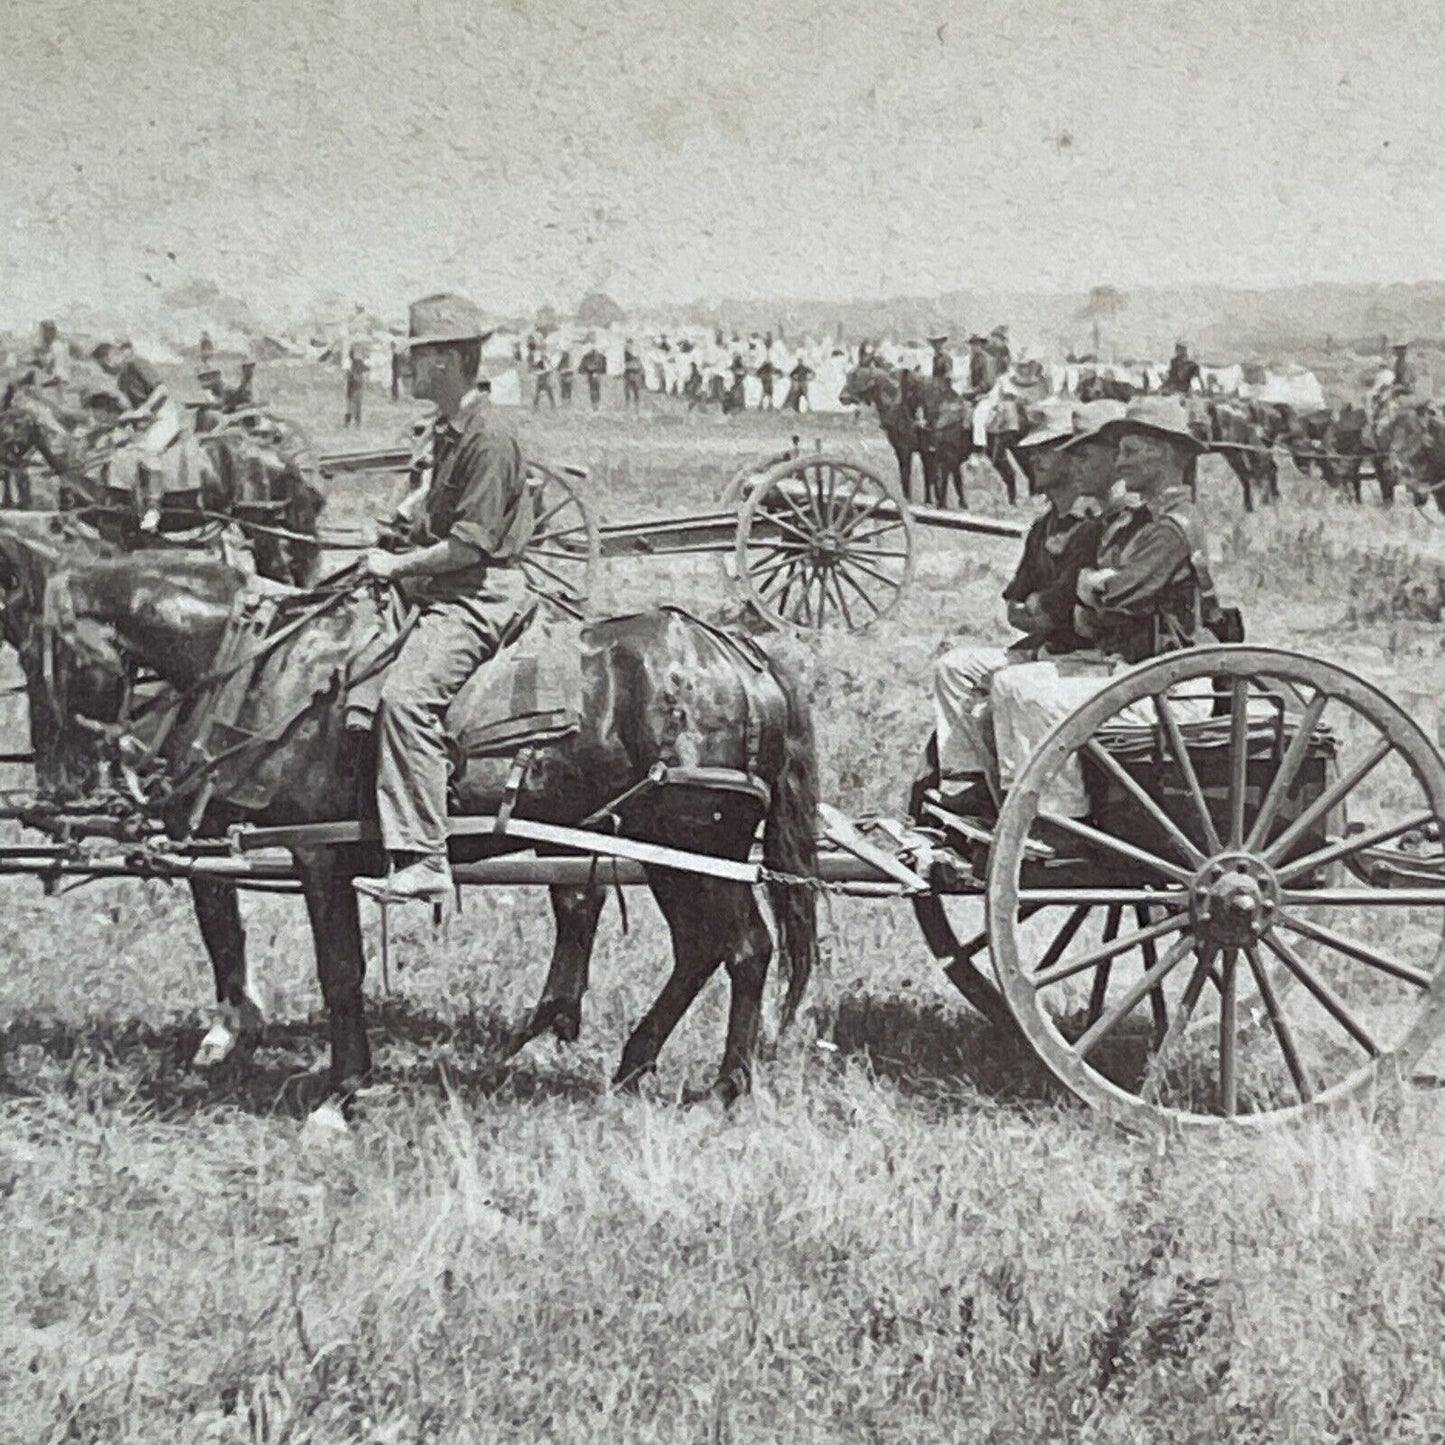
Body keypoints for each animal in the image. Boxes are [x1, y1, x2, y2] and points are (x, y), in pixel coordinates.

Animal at [16, 549, 820, 1103]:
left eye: (40, 655)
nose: (54, 789)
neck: (269, 664)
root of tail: (742, 661)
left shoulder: (315, 854)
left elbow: (338, 970)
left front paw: (341, 1090)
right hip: (663, 848)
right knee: (701, 950)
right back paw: (633, 1063)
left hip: (693, 842)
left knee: (744, 949)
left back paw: (726, 1084)